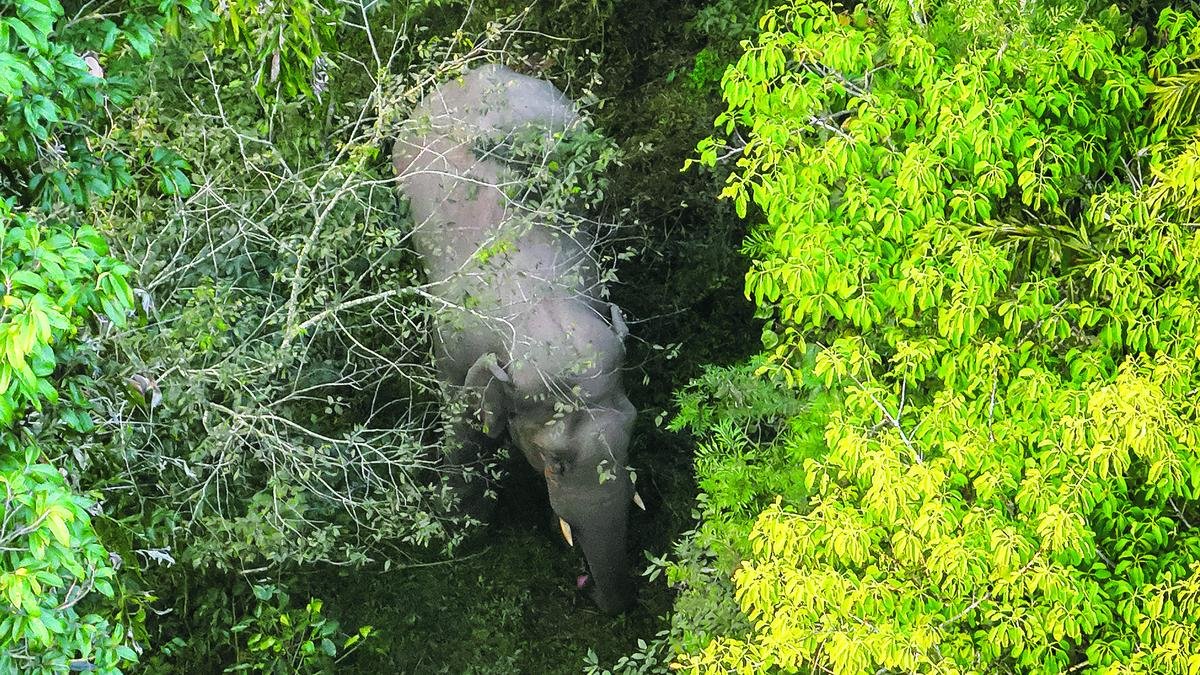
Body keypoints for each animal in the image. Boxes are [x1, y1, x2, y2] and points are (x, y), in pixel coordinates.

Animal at [392, 64, 641, 614]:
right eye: (555, 463)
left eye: (633, 432)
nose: (594, 592)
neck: (539, 309)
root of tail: (474, 73)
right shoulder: (454, 345)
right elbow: (462, 424)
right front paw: (463, 532)